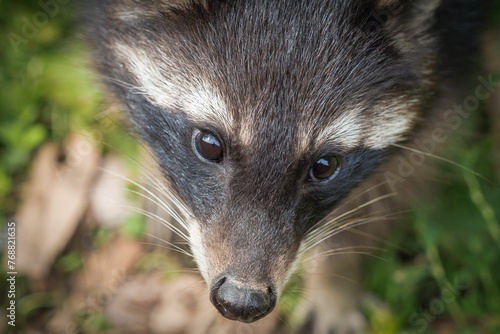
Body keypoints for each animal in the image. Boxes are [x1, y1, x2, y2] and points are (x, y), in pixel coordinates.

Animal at [85, 0, 484, 332]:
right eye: (209, 145)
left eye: (324, 166)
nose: (241, 302)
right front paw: (154, 172)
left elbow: (395, 182)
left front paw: (335, 281)